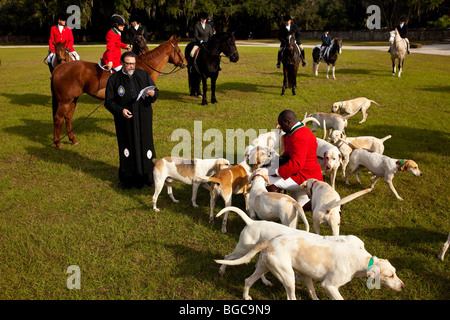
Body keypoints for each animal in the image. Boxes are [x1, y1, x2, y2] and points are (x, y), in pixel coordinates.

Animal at [50, 35, 187, 149]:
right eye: (179, 51)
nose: (185, 63)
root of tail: (59, 68)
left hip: (73, 100)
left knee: (68, 118)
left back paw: (73, 140)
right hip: (64, 101)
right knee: (58, 118)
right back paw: (57, 143)